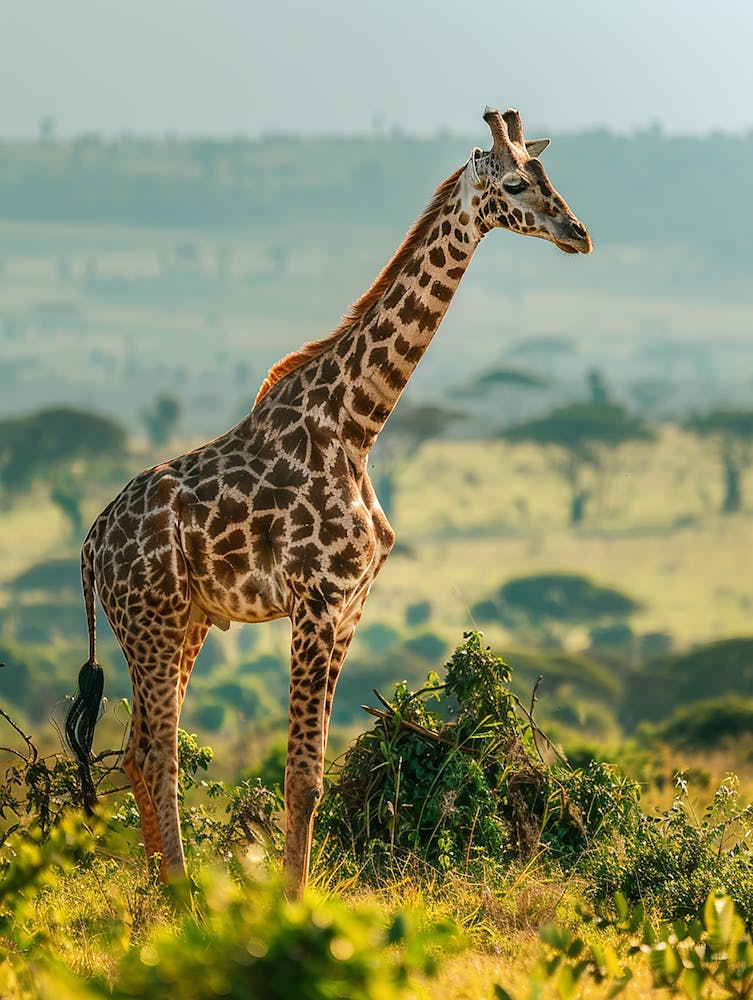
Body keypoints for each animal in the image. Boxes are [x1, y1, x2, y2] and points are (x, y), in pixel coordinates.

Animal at [66, 106, 591, 898]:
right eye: (512, 183)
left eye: (547, 173)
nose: (577, 233)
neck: (358, 424)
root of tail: (94, 542)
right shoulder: (315, 598)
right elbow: (301, 776)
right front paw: (290, 906)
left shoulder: (350, 606)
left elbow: (309, 772)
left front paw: (295, 895)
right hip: (151, 623)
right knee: (159, 754)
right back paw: (185, 904)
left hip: (182, 623)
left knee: (135, 749)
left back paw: (162, 901)